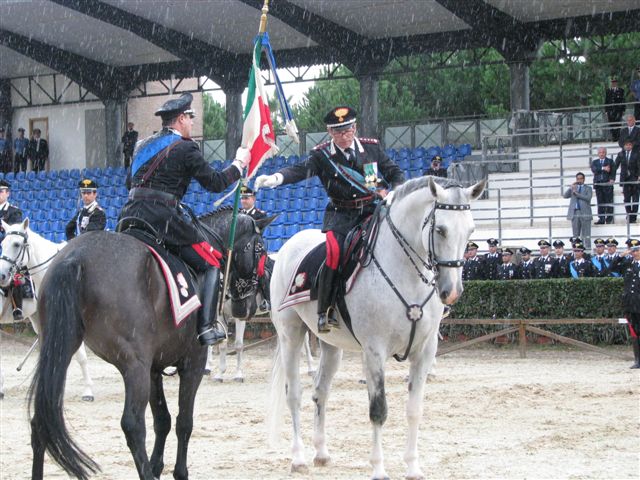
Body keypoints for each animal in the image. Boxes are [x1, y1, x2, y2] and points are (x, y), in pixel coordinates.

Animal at [26, 208, 274, 480]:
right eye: (260, 248)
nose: (246, 307)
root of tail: (74, 257)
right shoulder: (193, 363)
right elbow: (184, 422)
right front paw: (179, 472)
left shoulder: (154, 368)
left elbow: (163, 420)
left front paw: (157, 466)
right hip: (134, 366)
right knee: (133, 425)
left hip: (60, 352)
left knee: (41, 418)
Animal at [266, 176, 486, 479]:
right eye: (440, 230)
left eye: (470, 231)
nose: (451, 292)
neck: (405, 272)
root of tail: (290, 245)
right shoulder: (374, 351)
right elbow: (378, 410)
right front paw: (379, 468)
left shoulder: (425, 351)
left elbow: (414, 410)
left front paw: (413, 466)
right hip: (291, 335)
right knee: (295, 394)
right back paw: (298, 458)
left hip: (331, 346)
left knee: (320, 391)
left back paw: (321, 452)